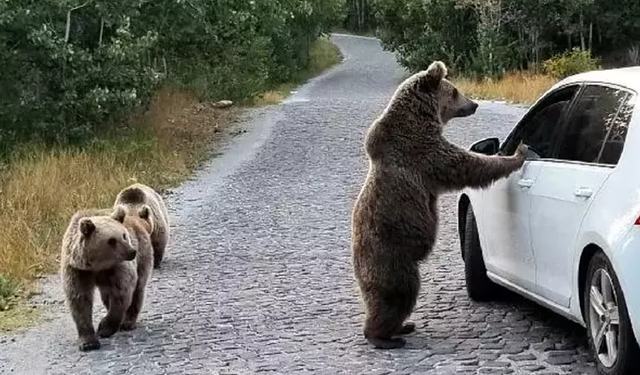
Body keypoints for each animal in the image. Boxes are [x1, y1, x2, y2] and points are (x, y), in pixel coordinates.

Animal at [60, 206, 155, 352]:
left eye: (124, 235)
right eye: (111, 240)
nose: (132, 252)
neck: (98, 266)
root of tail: (138, 221)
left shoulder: (117, 268)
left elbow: (121, 294)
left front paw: (104, 328)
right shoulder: (78, 271)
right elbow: (80, 301)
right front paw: (88, 342)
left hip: (143, 254)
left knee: (138, 289)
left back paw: (128, 322)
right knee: (106, 296)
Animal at [352, 60, 528, 352]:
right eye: (455, 91)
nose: (474, 104)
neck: (421, 118)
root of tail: (358, 267)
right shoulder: (423, 152)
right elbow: (466, 164)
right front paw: (517, 154)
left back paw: (402, 326)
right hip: (393, 256)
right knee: (400, 292)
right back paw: (385, 336)